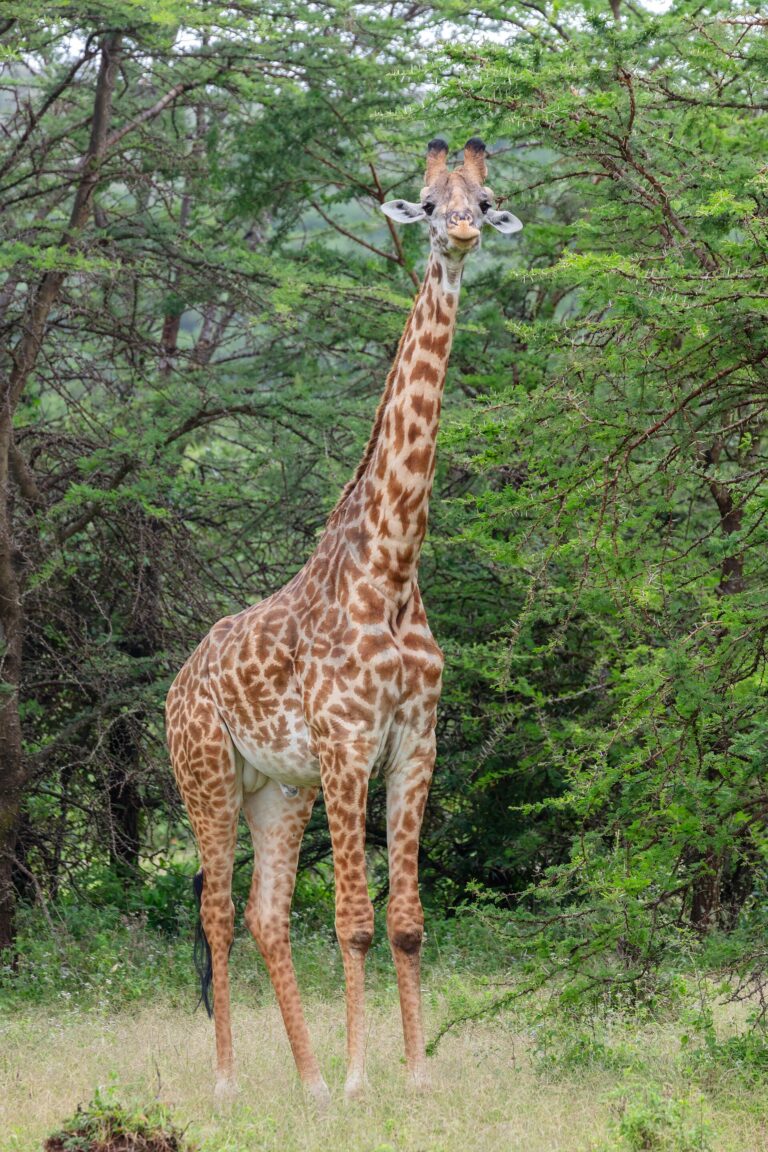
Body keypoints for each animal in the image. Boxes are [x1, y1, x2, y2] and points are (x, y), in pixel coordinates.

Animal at [165, 136, 522, 1108]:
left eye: (485, 200)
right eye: (428, 207)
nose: (464, 233)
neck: (392, 568)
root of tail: (176, 684)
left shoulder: (415, 740)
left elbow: (406, 921)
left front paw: (411, 1073)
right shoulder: (345, 741)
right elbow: (355, 920)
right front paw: (368, 1078)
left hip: (275, 789)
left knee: (264, 914)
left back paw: (310, 1081)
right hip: (206, 775)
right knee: (218, 910)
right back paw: (228, 1084)